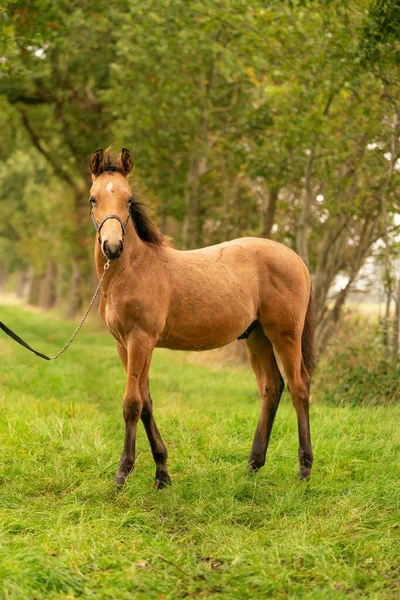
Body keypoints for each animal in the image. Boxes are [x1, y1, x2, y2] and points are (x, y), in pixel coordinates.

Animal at [89, 146, 314, 488]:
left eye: (128, 199)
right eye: (93, 199)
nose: (112, 246)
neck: (133, 269)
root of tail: (297, 260)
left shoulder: (141, 339)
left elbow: (132, 404)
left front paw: (122, 474)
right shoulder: (123, 344)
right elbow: (146, 402)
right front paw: (162, 474)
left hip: (285, 334)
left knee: (299, 386)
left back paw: (304, 469)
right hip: (256, 336)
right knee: (271, 387)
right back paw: (253, 465)